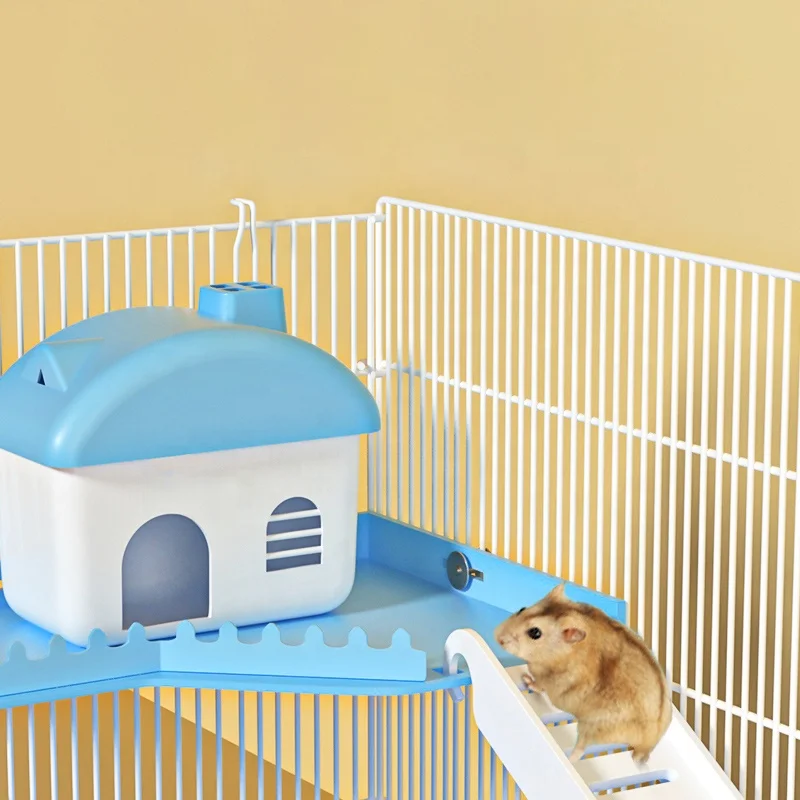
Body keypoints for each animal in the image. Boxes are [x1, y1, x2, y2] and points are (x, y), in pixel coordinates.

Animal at [494, 583, 671, 765]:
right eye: (522, 609)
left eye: (535, 632)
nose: (497, 637)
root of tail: (648, 743)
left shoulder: (551, 680)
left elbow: (538, 685)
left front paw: (526, 679)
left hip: (592, 726)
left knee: (580, 748)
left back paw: (569, 758)